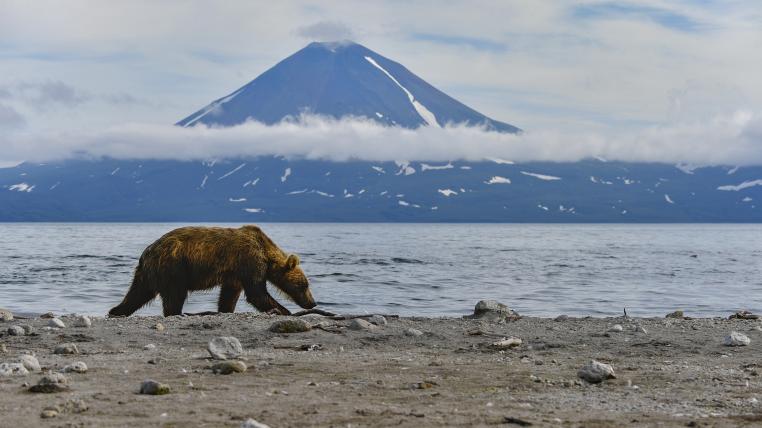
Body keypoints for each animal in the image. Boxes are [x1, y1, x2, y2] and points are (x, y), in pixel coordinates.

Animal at [108, 225, 316, 317]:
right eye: (304, 285)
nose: (312, 303)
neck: (266, 251)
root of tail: (147, 253)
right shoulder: (249, 261)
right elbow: (257, 292)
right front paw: (283, 310)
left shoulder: (234, 274)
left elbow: (229, 295)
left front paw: (225, 309)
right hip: (174, 266)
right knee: (175, 294)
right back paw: (177, 313)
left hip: (147, 274)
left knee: (137, 293)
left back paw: (116, 311)